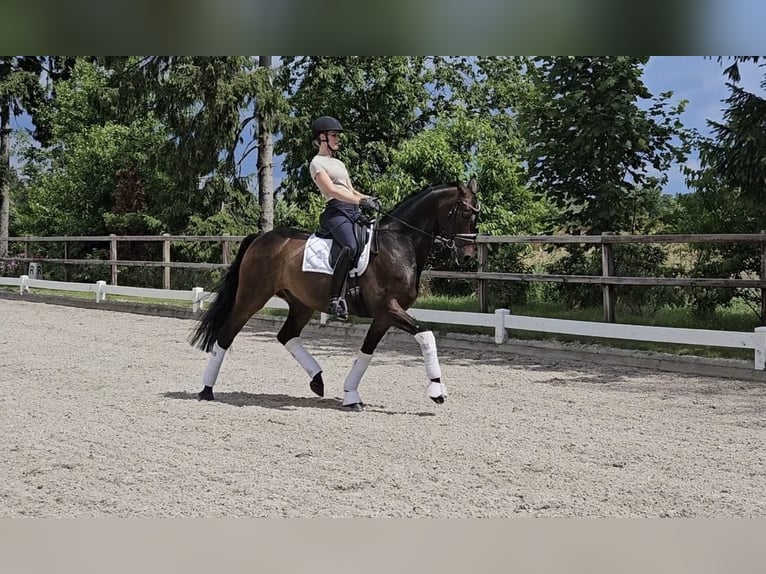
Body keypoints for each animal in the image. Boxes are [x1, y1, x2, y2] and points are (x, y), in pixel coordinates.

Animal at [189, 180, 480, 410]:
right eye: (466, 212)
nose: (467, 256)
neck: (398, 244)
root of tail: (261, 238)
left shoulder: (384, 316)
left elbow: (366, 352)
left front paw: (351, 395)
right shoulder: (388, 308)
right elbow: (427, 334)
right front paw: (436, 390)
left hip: (301, 304)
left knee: (286, 335)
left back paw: (317, 380)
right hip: (251, 298)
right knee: (226, 335)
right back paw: (206, 390)